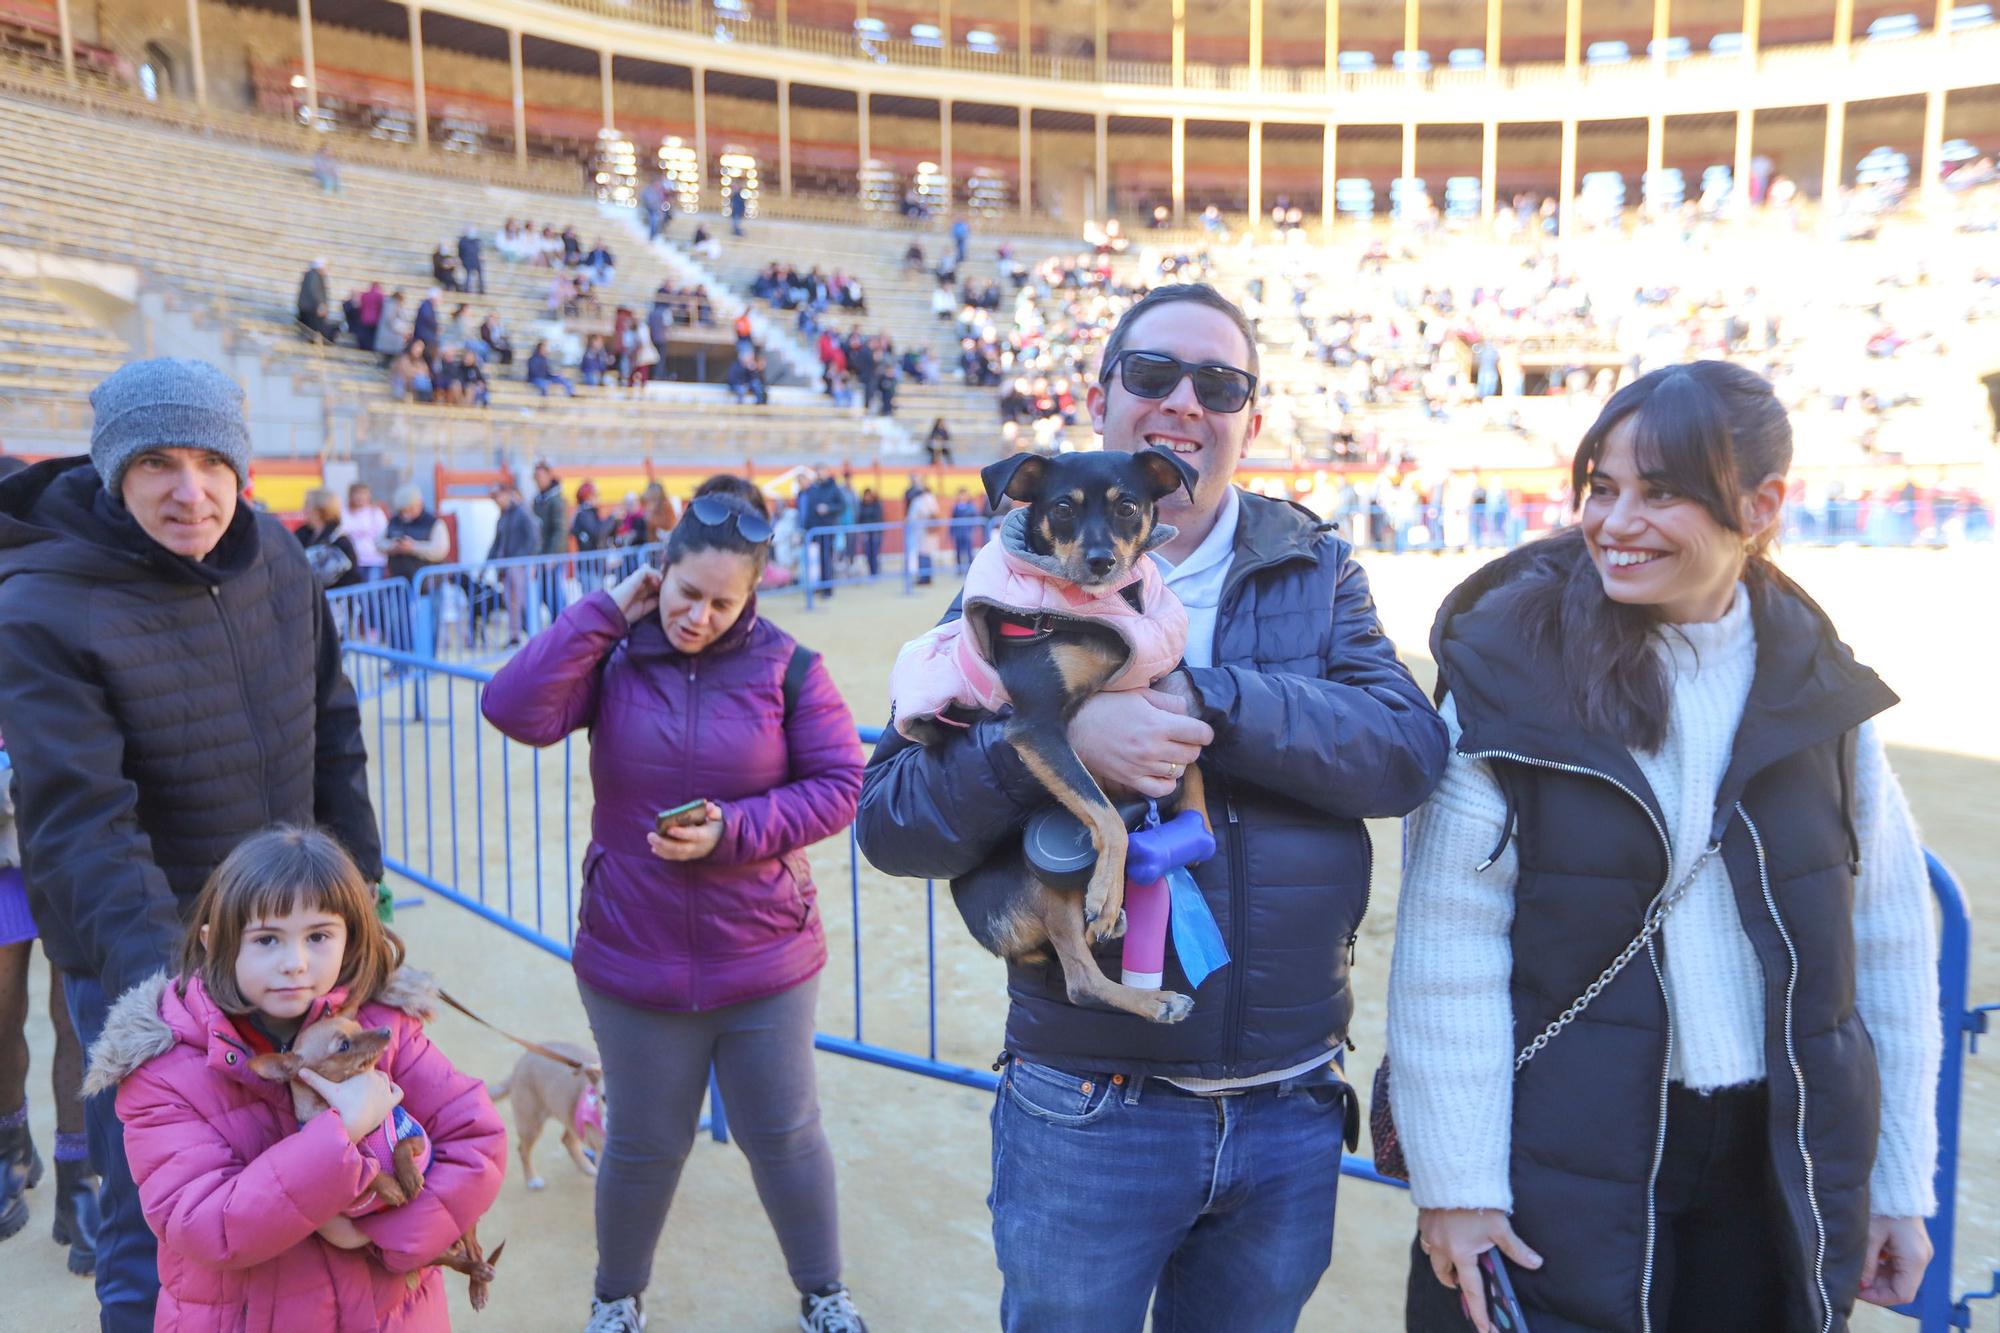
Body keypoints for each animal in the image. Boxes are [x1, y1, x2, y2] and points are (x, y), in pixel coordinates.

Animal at [488, 1040, 604, 1184]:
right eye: (604, 1098)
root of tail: (522, 1060)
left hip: (568, 1116)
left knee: (567, 1140)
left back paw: (587, 1167)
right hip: (531, 1126)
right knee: (523, 1150)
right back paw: (532, 1179)